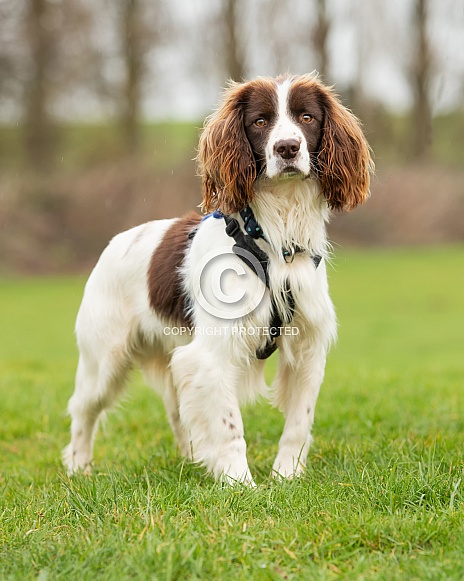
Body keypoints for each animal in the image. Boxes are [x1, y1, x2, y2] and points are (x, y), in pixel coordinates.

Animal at [62, 72, 374, 482]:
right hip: (105, 359)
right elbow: (229, 426)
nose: (288, 148)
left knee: (178, 411)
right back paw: (78, 468)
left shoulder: (308, 348)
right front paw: (240, 483)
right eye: (260, 121)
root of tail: (116, 242)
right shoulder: (211, 354)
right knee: (83, 409)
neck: (274, 241)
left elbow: (298, 422)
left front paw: (286, 476)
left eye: (307, 117)